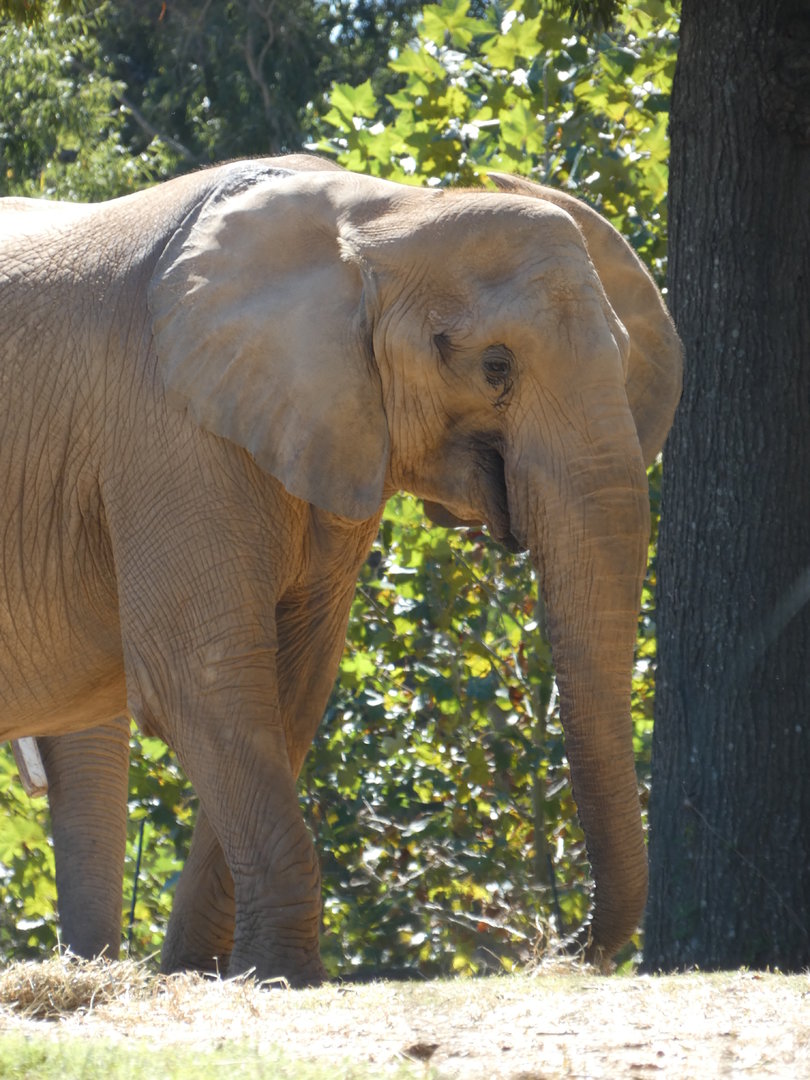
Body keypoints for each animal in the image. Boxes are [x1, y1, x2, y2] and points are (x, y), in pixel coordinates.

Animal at [0, 155, 682, 983]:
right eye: (495, 367)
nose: (557, 950)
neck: (383, 217)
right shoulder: (162, 425)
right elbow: (203, 675)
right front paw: (277, 975)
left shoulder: (331, 430)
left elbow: (291, 685)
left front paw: (217, 974)